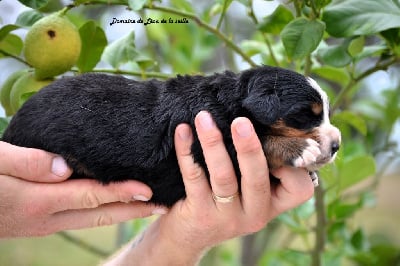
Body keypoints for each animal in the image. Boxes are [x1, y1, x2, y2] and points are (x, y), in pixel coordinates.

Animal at [2, 65, 340, 207]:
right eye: (306, 114)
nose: (337, 145)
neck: (228, 102)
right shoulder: (207, 141)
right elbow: (261, 140)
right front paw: (300, 149)